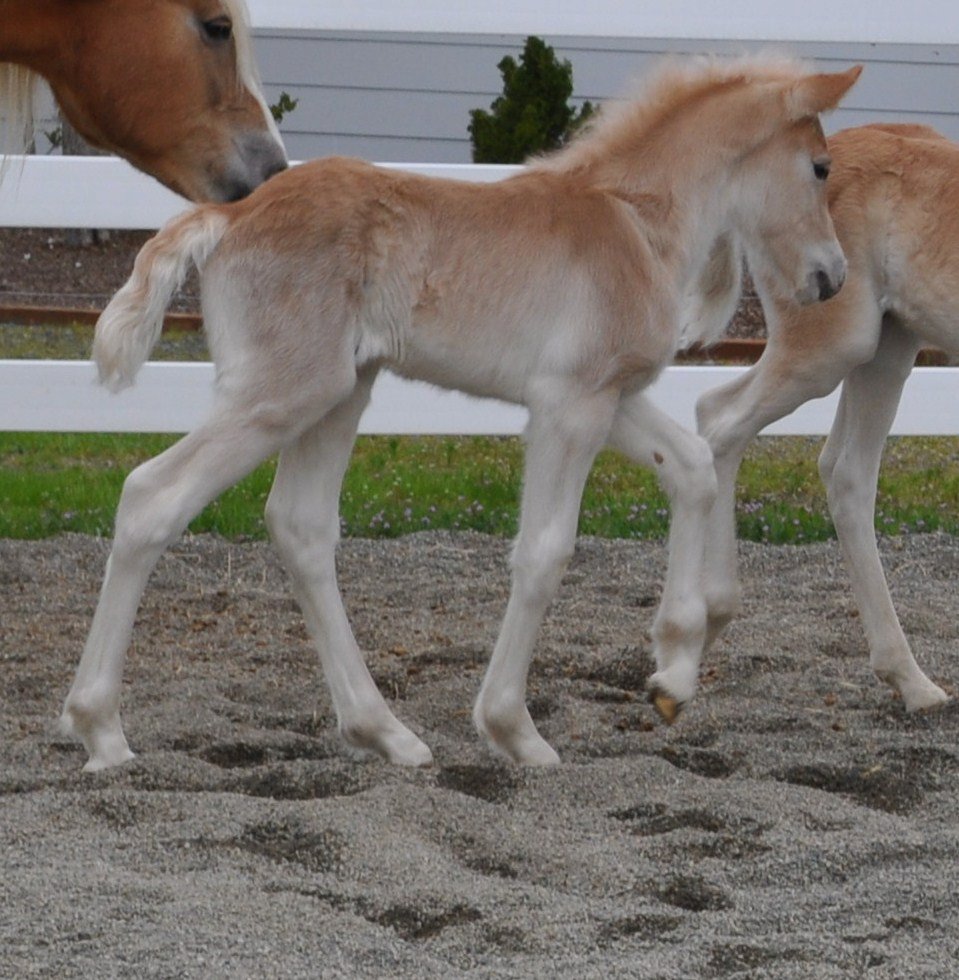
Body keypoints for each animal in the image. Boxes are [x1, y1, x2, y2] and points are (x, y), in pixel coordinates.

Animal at [60, 57, 860, 768]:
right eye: (821, 166)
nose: (831, 278)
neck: (633, 223)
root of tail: (225, 217)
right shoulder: (570, 406)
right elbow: (543, 553)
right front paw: (514, 729)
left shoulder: (610, 397)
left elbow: (692, 470)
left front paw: (672, 675)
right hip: (280, 394)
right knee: (152, 497)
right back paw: (101, 730)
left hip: (340, 393)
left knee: (301, 527)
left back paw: (385, 733)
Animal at [692, 126, 959, 716]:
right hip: (835, 345)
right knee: (721, 420)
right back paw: (707, 616)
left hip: (889, 346)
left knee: (845, 473)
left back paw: (912, 681)